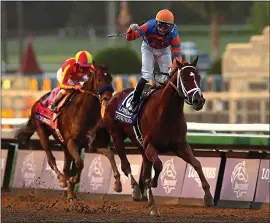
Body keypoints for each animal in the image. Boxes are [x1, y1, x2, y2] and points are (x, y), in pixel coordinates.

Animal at [13, 65, 121, 199]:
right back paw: (62, 179)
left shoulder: (93, 144)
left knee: (66, 166)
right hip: (42, 132)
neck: (85, 112)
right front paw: (73, 179)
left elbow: (110, 155)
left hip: (63, 144)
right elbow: (79, 163)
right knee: (51, 159)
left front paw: (117, 184)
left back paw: (69, 193)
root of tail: (38, 101)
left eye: (110, 79)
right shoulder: (71, 142)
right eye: (99, 79)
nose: (108, 98)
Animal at [99, 57, 213, 214]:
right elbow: (158, 165)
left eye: (198, 77)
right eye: (184, 78)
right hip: (116, 136)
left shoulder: (180, 145)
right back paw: (134, 189)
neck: (166, 113)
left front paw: (208, 196)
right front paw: (153, 183)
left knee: (143, 170)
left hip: (139, 144)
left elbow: (197, 163)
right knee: (125, 165)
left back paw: (149, 201)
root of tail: (113, 97)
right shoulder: (150, 146)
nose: (199, 101)